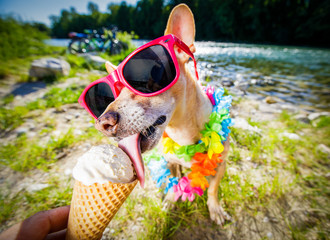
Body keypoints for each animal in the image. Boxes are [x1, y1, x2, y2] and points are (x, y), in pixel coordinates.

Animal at [94, 3, 231, 225]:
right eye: (113, 94)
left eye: (142, 83)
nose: (102, 123)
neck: (181, 131)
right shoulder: (171, 162)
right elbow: (174, 182)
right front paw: (170, 200)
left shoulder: (221, 165)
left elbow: (213, 189)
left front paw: (215, 208)